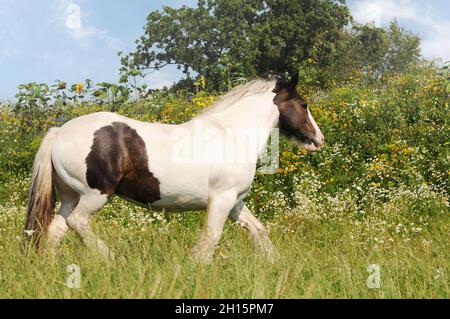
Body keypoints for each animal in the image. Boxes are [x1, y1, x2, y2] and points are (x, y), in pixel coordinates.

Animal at [24, 74, 324, 264]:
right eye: (304, 104)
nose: (318, 140)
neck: (233, 135)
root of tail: (58, 132)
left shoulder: (235, 202)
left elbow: (259, 230)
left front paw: (275, 263)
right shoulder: (221, 199)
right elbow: (211, 238)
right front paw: (195, 267)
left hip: (69, 198)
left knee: (56, 231)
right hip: (94, 195)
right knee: (78, 223)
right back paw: (111, 258)